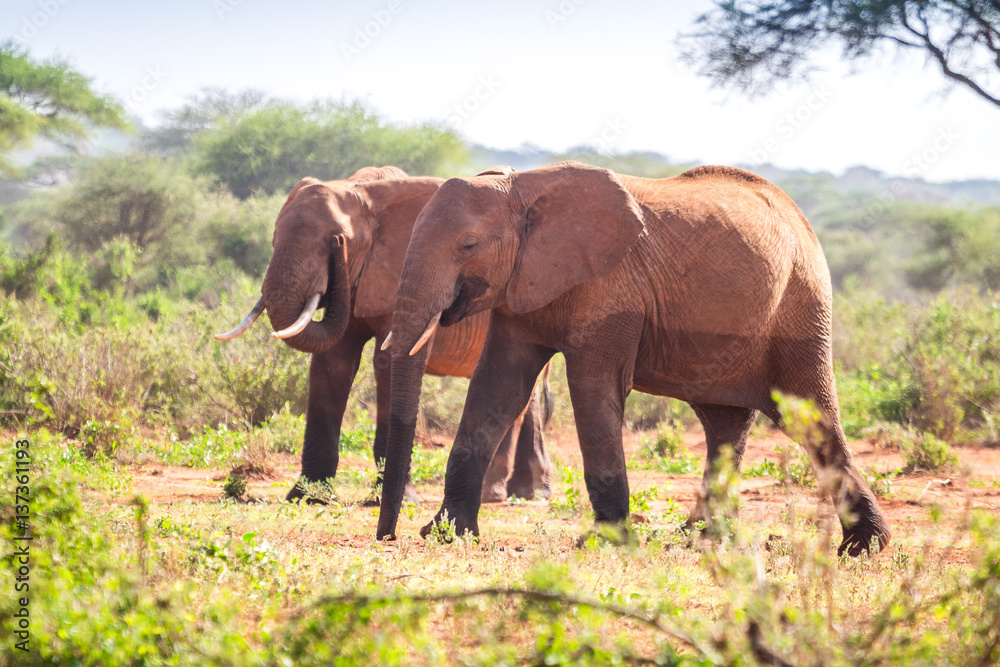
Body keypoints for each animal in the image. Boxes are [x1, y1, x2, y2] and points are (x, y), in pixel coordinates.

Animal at [216, 167, 556, 506]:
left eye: (337, 240)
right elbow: (332, 364)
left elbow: (387, 362)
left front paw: (394, 499)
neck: (364, 191)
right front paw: (306, 497)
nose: (337, 248)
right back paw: (529, 493)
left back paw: (494, 495)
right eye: (274, 236)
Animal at [376, 159, 892, 556]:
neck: (522, 189)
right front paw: (445, 534)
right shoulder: (519, 291)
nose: (388, 537)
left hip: (801, 306)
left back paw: (863, 548)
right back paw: (703, 538)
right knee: (725, 424)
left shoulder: (613, 289)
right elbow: (496, 389)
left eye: (468, 245)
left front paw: (604, 544)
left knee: (810, 417)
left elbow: (592, 388)